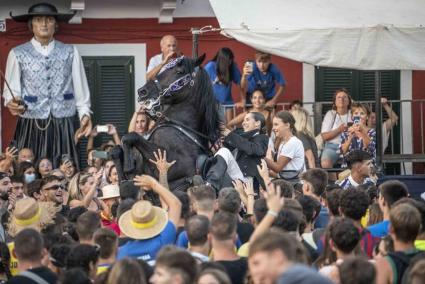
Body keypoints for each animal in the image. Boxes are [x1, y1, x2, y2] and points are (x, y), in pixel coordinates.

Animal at [111, 54, 220, 190]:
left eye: (180, 71)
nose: (142, 91)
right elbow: (116, 151)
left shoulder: (169, 165)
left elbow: (130, 136)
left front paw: (128, 166)